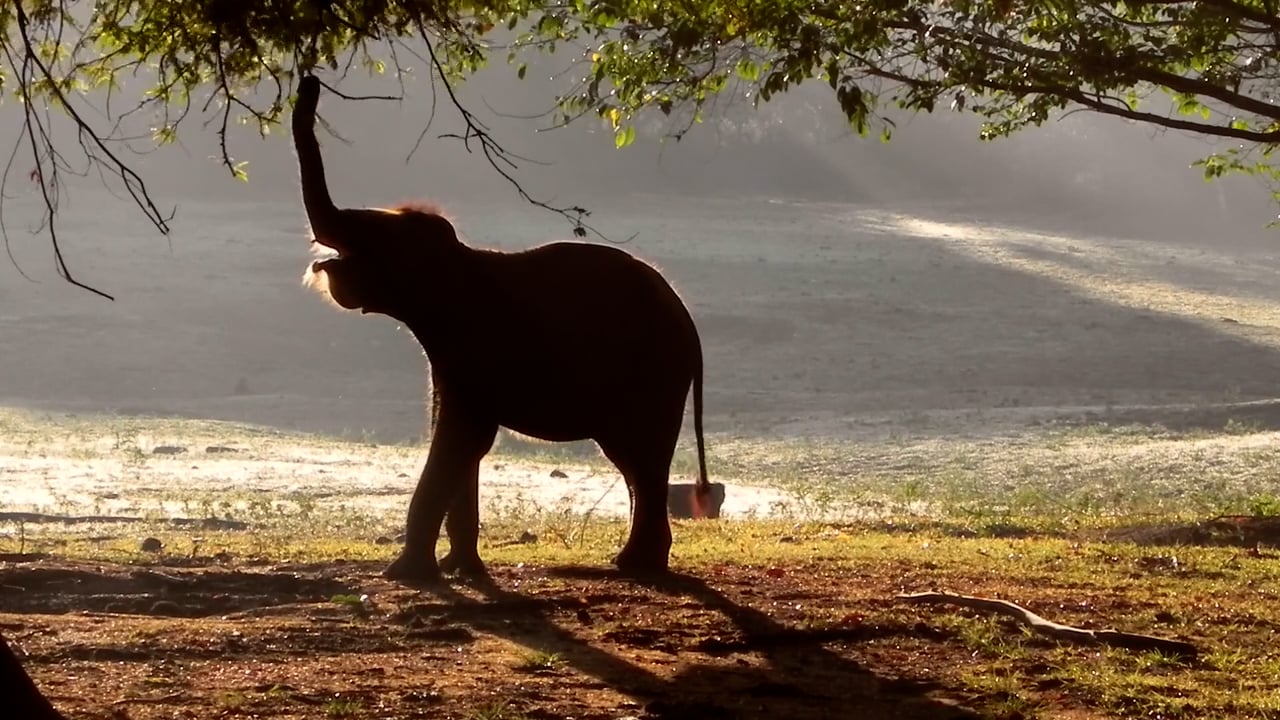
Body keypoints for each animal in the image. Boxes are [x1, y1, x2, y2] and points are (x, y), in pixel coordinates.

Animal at [292, 76, 712, 584]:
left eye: (385, 242)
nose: (310, 81)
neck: (460, 259)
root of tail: (691, 328)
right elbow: (459, 438)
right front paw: (459, 569)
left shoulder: (475, 343)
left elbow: (463, 436)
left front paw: (406, 575)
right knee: (635, 462)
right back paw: (631, 562)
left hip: (654, 376)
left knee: (641, 457)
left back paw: (637, 566)